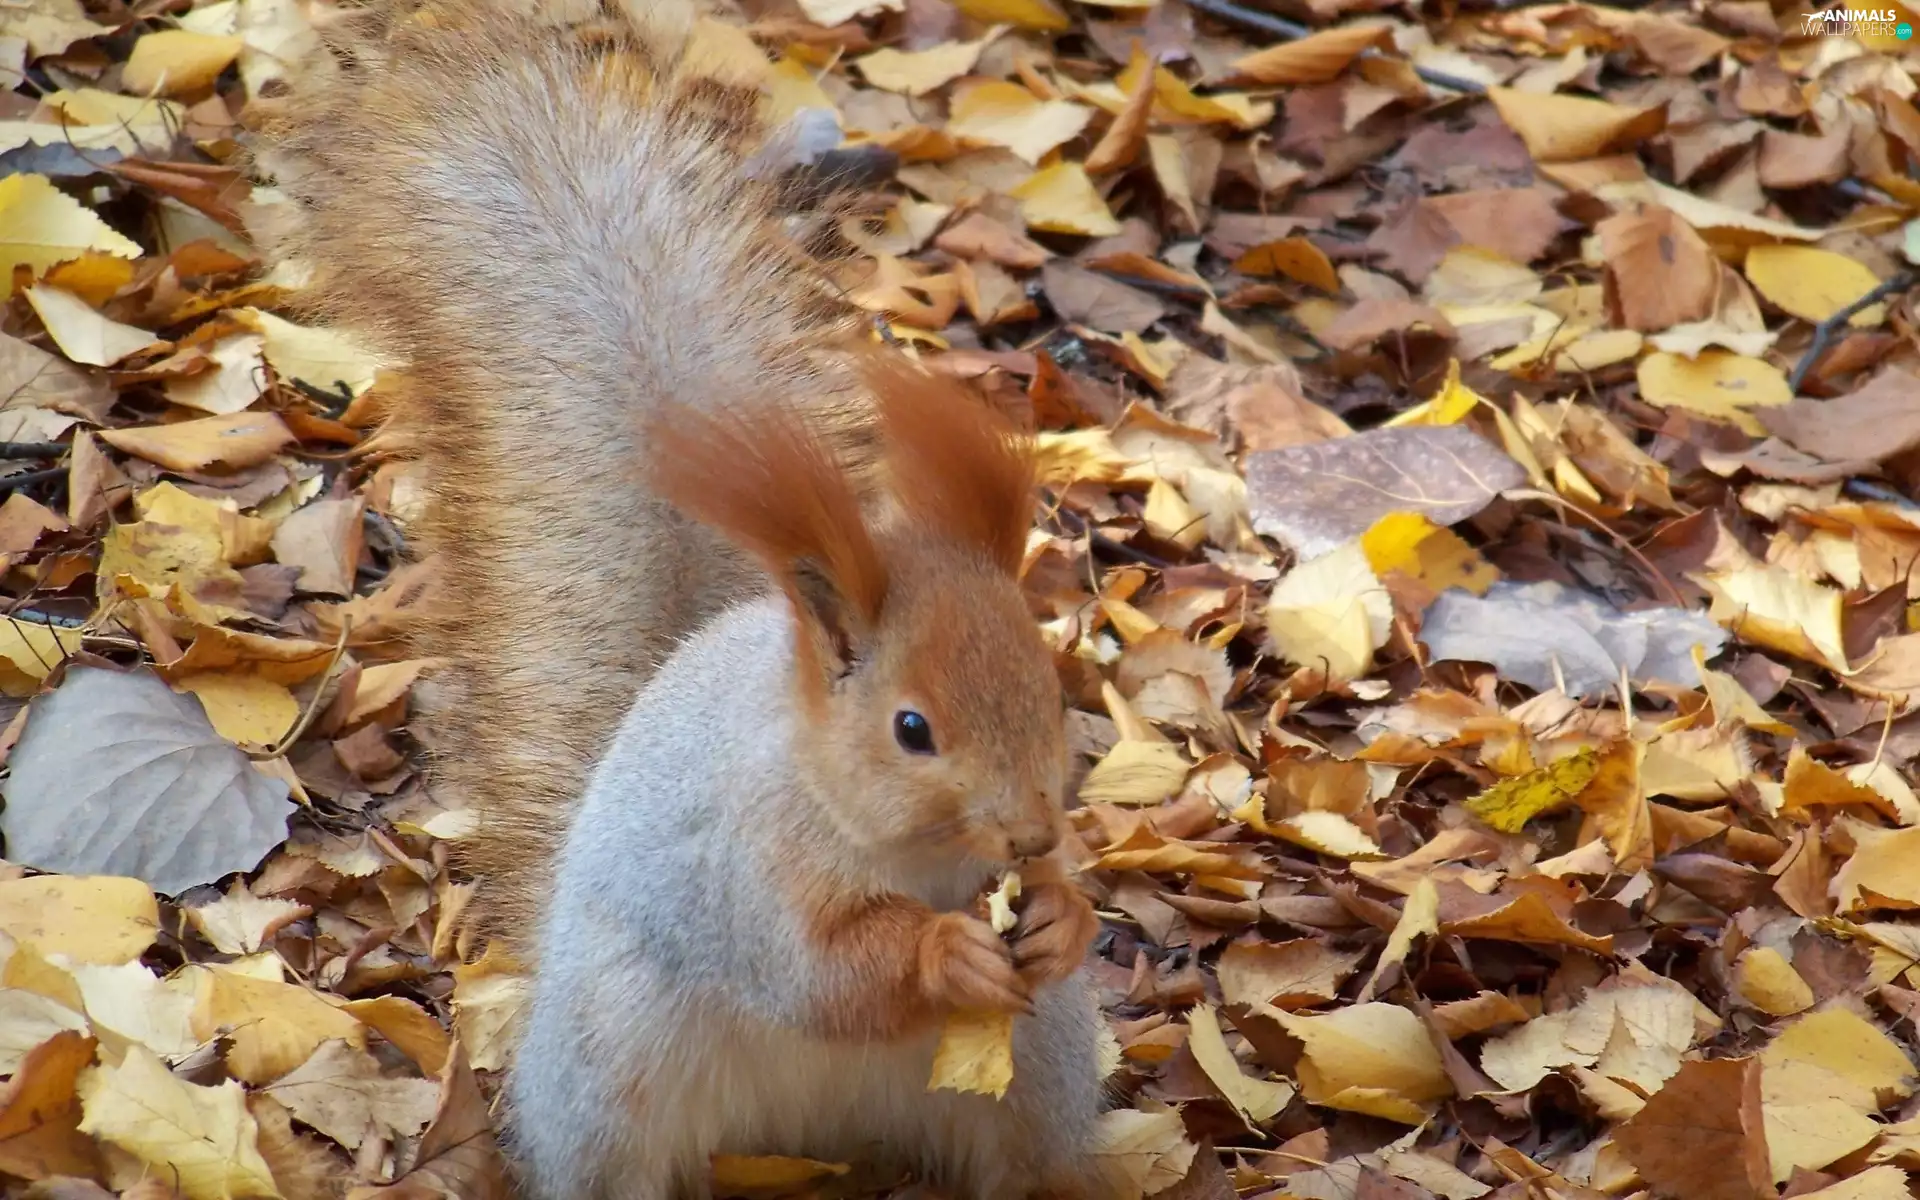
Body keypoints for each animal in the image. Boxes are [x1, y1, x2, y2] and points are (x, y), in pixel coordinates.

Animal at [254, 0, 1120, 1196]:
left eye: (1051, 685)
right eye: (911, 729)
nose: (1034, 835)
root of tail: (815, 1134)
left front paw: (1062, 917)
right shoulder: (742, 870)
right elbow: (821, 976)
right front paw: (946, 950)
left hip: (1040, 1068)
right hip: (614, 1070)